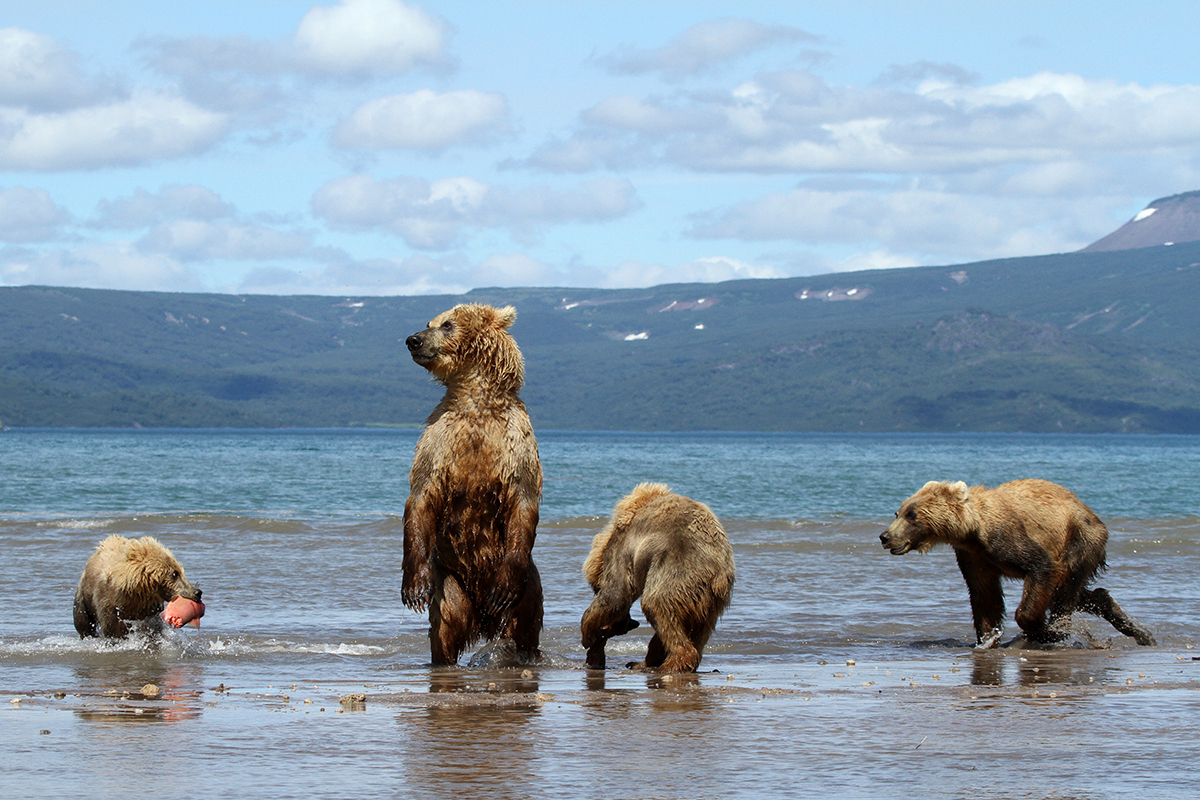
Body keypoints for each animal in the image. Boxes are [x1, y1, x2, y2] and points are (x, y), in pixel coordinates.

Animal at [72, 534, 205, 642]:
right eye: (174, 573)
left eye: (181, 571)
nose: (197, 592)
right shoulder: (109, 600)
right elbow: (111, 627)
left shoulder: (147, 607)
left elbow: (152, 628)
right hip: (83, 597)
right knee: (82, 621)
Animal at [403, 303, 544, 666]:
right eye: (429, 322)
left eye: (447, 324)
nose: (413, 340)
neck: (475, 403)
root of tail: (483, 620)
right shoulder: (439, 441)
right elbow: (420, 496)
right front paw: (413, 588)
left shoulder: (515, 443)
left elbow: (523, 499)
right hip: (451, 581)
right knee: (447, 623)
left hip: (527, 585)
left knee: (523, 623)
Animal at [578, 484, 734, 671]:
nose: (630, 622)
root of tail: (718, 573)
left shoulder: (623, 549)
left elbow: (615, 595)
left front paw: (587, 634)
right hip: (709, 602)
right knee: (696, 630)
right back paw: (646, 662)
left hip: (677, 570)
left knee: (656, 606)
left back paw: (671, 663)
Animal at [883, 479, 1152, 647]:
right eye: (898, 512)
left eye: (912, 515)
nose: (885, 536)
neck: (971, 530)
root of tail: (1091, 513)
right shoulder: (973, 556)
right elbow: (984, 595)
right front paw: (987, 638)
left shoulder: (1006, 539)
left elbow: (1040, 568)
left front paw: (1038, 630)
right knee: (1075, 593)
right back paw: (1136, 628)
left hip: (1080, 539)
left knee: (1065, 589)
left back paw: (1058, 630)